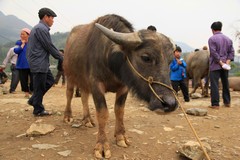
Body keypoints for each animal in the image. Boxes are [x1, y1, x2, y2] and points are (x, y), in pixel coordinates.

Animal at [62, 14, 177, 159]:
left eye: (170, 61)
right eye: (146, 57)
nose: (170, 104)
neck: (111, 61)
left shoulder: (124, 87)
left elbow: (119, 111)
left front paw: (121, 137)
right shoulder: (96, 84)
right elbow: (103, 113)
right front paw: (102, 145)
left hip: (84, 81)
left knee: (84, 97)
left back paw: (87, 119)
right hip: (70, 76)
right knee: (69, 94)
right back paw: (67, 116)